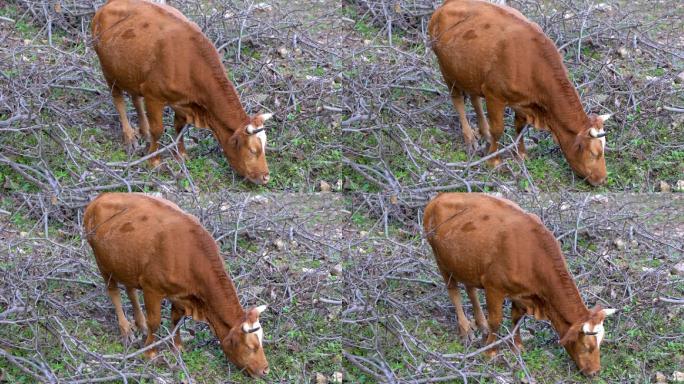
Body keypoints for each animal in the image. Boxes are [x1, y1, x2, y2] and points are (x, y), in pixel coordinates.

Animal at [83, 194, 270, 376]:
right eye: (251, 346)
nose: (265, 370)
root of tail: (99, 198)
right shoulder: (152, 288)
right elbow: (155, 322)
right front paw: (150, 352)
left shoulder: (181, 294)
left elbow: (176, 318)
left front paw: (177, 347)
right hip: (102, 262)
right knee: (113, 291)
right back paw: (126, 330)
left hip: (126, 264)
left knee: (130, 290)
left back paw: (140, 324)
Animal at [91, 0, 272, 186]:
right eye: (252, 150)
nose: (266, 176)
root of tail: (108, 5)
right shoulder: (153, 95)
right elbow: (158, 129)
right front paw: (154, 160)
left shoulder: (183, 102)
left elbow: (179, 127)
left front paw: (182, 155)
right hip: (108, 70)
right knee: (118, 100)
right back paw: (129, 137)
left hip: (132, 73)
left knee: (135, 99)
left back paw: (144, 131)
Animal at [424, 192, 616, 376]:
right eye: (587, 346)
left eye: (601, 342)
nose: (595, 372)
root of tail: (439, 197)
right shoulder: (494, 287)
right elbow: (496, 320)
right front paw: (491, 352)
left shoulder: (522, 293)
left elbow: (516, 318)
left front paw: (517, 347)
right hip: (440, 259)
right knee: (453, 291)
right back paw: (465, 329)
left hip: (465, 263)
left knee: (470, 289)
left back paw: (481, 325)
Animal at [430, 0, 612, 186]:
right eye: (594, 153)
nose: (603, 179)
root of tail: (447, 4)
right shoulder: (494, 94)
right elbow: (498, 129)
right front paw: (494, 160)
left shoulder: (524, 102)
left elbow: (519, 126)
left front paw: (521, 155)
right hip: (446, 69)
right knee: (458, 100)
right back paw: (470, 139)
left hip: (470, 72)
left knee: (474, 98)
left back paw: (484, 133)